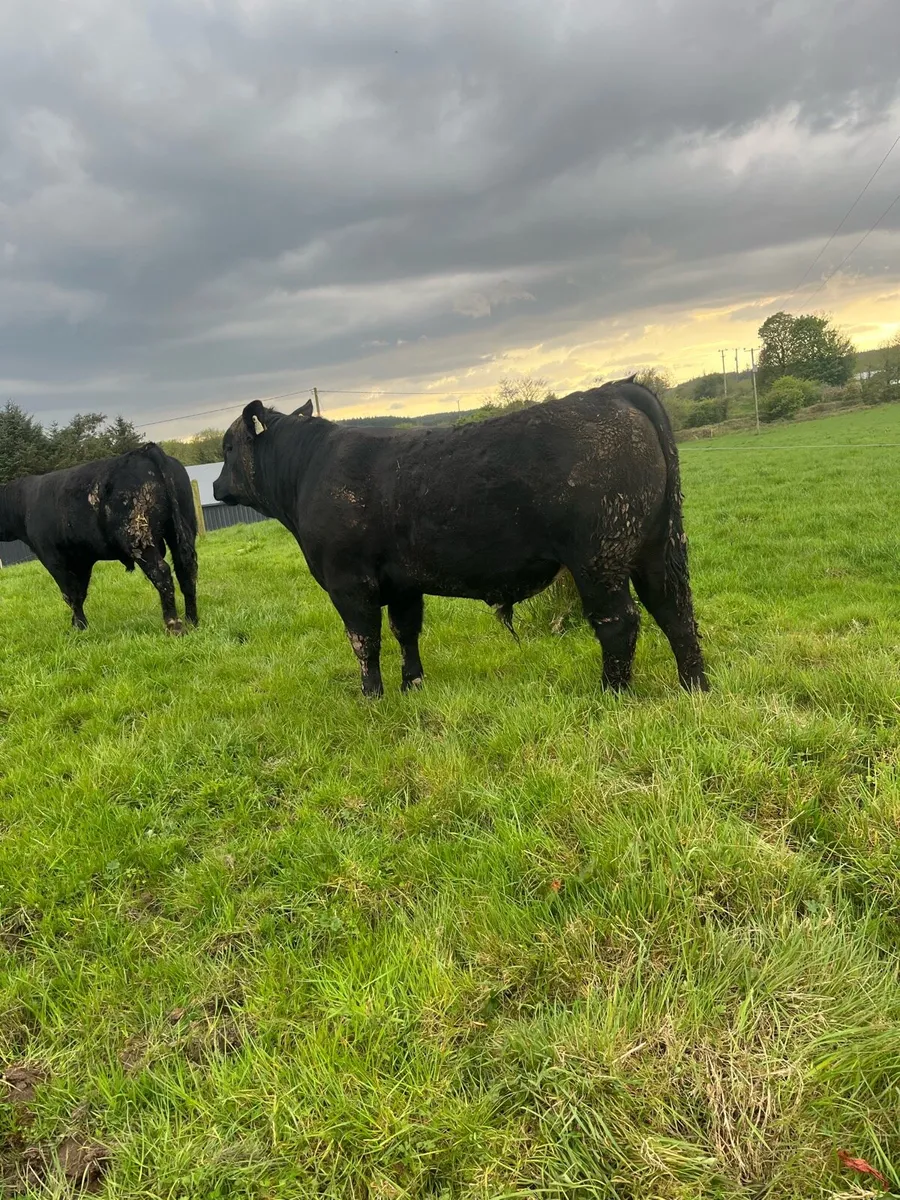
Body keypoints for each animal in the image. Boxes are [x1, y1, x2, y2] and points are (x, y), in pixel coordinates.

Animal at [0, 444, 198, 634]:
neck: (23, 505)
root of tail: (143, 451)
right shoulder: (82, 560)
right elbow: (80, 592)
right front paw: (79, 625)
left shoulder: (52, 558)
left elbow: (70, 594)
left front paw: (79, 627)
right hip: (181, 529)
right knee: (186, 571)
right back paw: (192, 621)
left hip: (138, 538)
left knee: (162, 573)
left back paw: (174, 626)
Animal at [212, 379, 708, 696]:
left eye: (228, 447)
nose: (216, 486)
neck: (308, 471)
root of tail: (615, 390)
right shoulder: (403, 584)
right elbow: (405, 631)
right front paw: (413, 684)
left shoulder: (348, 582)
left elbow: (364, 640)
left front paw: (371, 695)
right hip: (655, 546)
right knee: (674, 609)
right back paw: (694, 686)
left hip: (598, 558)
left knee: (619, 621)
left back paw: (612, 692)